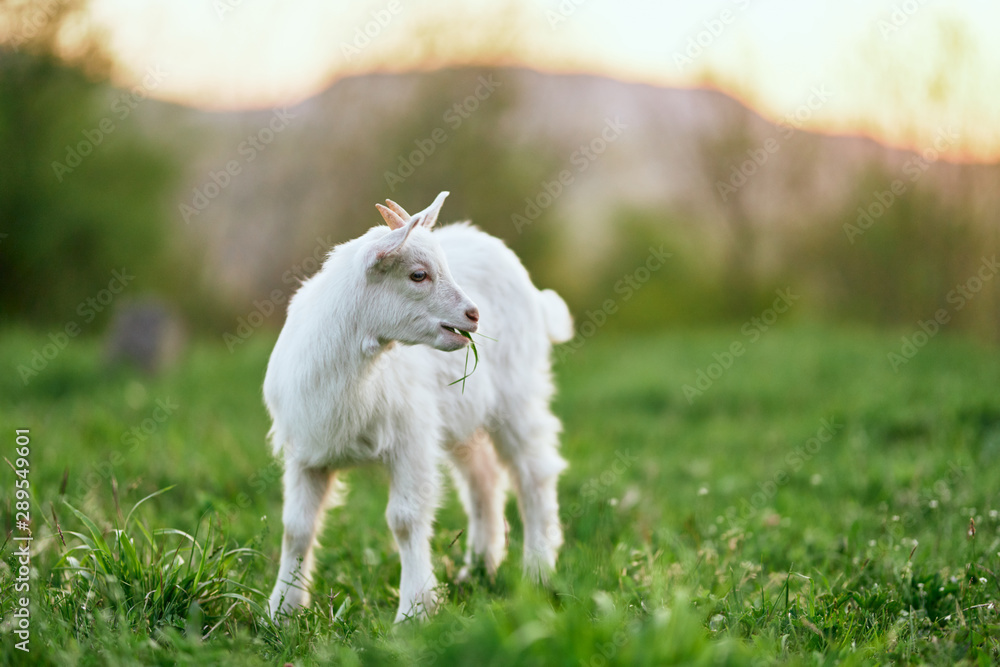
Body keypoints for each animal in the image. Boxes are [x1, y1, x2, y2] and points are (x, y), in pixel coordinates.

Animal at [264, 191, 573, 622]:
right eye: (418, 275)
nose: (473, 315)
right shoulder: (306, 451)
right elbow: (296, 527)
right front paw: (282, 611)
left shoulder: (410, 438)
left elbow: (405, 520)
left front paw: (415, 610)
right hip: (462, 415)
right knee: (484, 478)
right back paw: (479, 568)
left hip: (518, 394)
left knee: (534, 473)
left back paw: (538, 571)